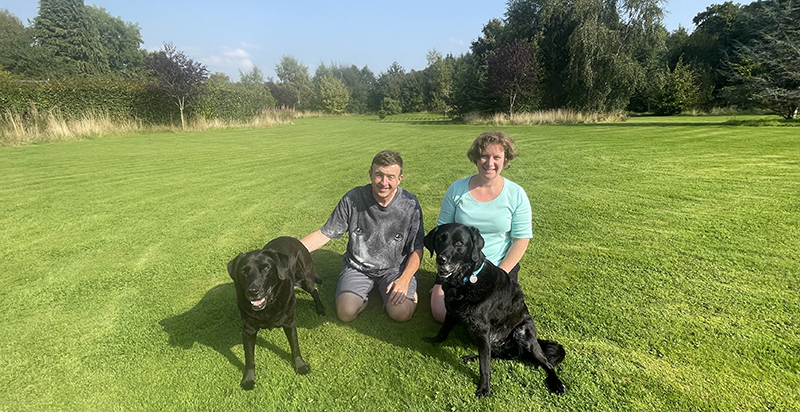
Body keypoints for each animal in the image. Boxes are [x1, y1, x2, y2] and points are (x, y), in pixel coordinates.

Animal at [225, 237, 324, 392]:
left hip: (305, 277)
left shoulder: (289, 323)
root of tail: (292, 238)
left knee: (314, 290)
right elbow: (249, 358)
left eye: (266, 268)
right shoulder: (248, 331)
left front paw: (300, 366)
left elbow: (295, 347)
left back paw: (320, 308)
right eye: (243, 271)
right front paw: (248, 379)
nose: (253, 291)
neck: (269, 305)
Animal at [422, 224, 564, 398]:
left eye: (459, 243)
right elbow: (443, 331)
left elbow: (485, 366)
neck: (466, 280)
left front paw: (484, 388)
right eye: (439, 240)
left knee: (547, 364)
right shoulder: (451, 312)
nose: (441, 260)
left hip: (522, 333)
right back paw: (472, 357)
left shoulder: (482, 330)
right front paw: (434, 340)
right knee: (495, 355)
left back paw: (556, 384)